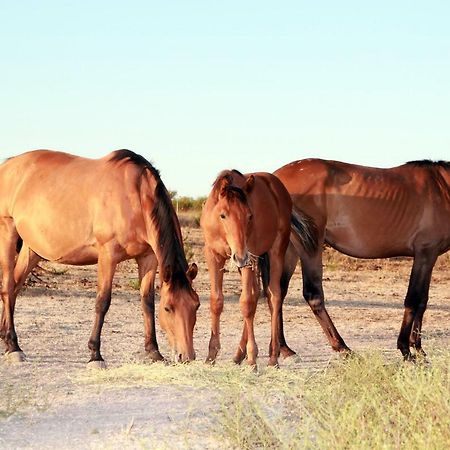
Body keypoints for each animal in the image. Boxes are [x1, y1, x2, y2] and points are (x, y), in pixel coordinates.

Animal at [0, 149, 200, 368]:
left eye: (196, 305)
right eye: (168, 308)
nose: (186, 356)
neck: (135, 196)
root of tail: (7, 166)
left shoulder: (148, 258)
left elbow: (147, 302)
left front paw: (153, 352)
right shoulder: (107, 255)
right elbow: (102, 301)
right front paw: (95, 355)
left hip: (32, 249)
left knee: (15, 285)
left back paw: (5, 338)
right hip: (8, 233)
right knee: (8, 286)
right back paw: (13, 346)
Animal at [200, 171, 316, 368]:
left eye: (249, 216)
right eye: (223, 215)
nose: (240, 257)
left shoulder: (249, 258)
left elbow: (247, 304)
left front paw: (253, 360)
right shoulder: (214, 256)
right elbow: (216, 301)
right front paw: (211, 356)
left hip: (275, 251)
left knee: (274, 295)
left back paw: (272, 357)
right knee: (256, 293)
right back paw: (239, 355)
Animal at [272, 160, 450, 360]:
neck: (442, 187)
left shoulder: (429, 256)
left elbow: (423, 300)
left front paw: (418, 349)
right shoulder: (425, 253)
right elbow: (413, 299)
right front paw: (406, 350)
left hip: (289, 249)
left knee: (278, 292)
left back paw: (284, 348)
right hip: (310, 246)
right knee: (313, 294)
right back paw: (342, 347)